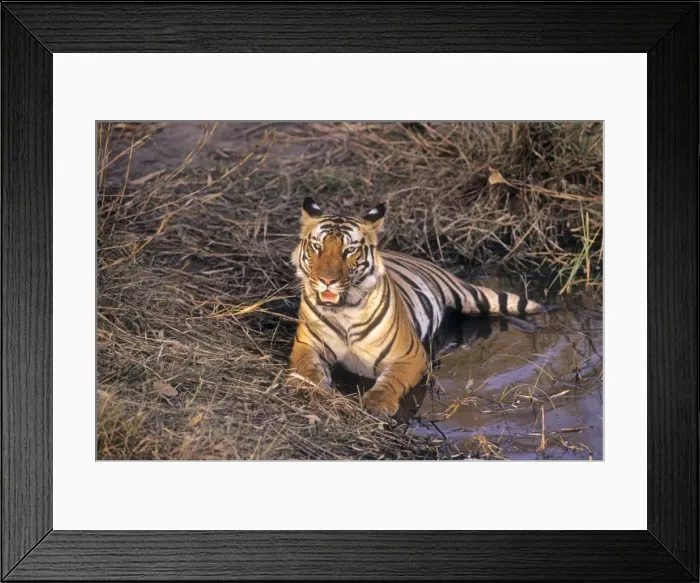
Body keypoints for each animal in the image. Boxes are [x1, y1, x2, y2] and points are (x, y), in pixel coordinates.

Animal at [289, 197, 544, 416]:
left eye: (349, 250)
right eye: (317, 247)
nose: (327, 280)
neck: (345, 311)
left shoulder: (410, 356)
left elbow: (391, 381)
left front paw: (377, 404)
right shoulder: (306, 345)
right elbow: (307, 368)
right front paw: (306, 387)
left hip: (471, 297)